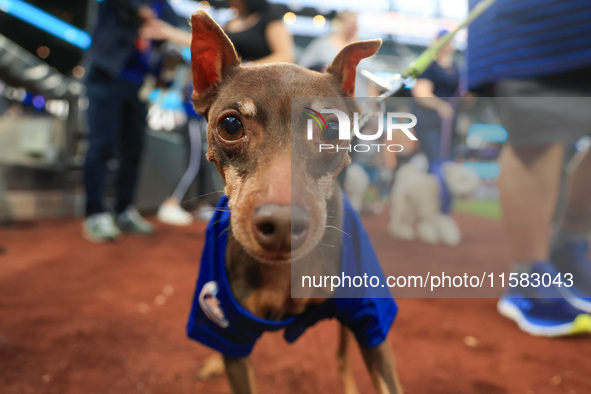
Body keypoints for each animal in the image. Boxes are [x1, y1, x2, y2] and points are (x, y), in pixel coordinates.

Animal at [190, 10, 402, 394]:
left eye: (333, 128)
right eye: (230, 125)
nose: (282, 225)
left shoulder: (370, 323)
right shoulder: (229, 331)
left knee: (341, 355)